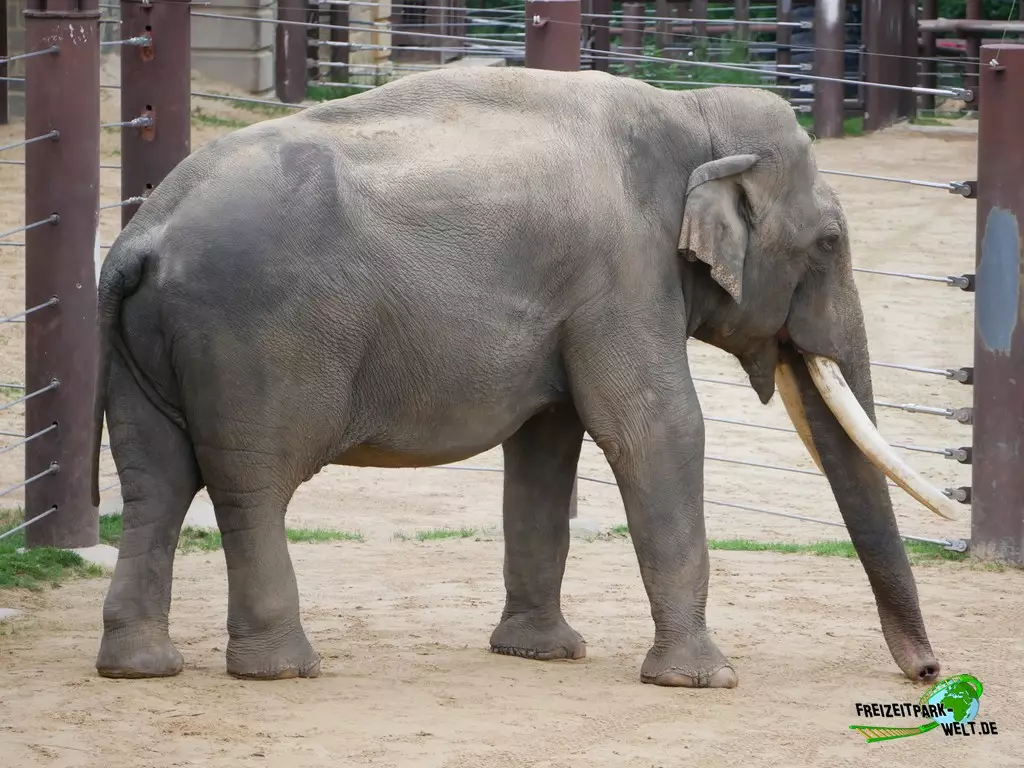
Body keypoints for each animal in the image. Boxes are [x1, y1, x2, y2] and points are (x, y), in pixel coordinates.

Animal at [90, 65, 960, 688]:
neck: (691, 111)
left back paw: (141, 668)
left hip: (149, 346)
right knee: (252, 486)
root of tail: (143, 236)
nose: (929, 672)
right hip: (251, 339)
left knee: (155, 482)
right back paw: (284, 670)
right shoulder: (623, 271)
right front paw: (706, 680)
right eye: (829, 242)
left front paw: (541, 653)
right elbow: (656, 429)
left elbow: (547, 443)